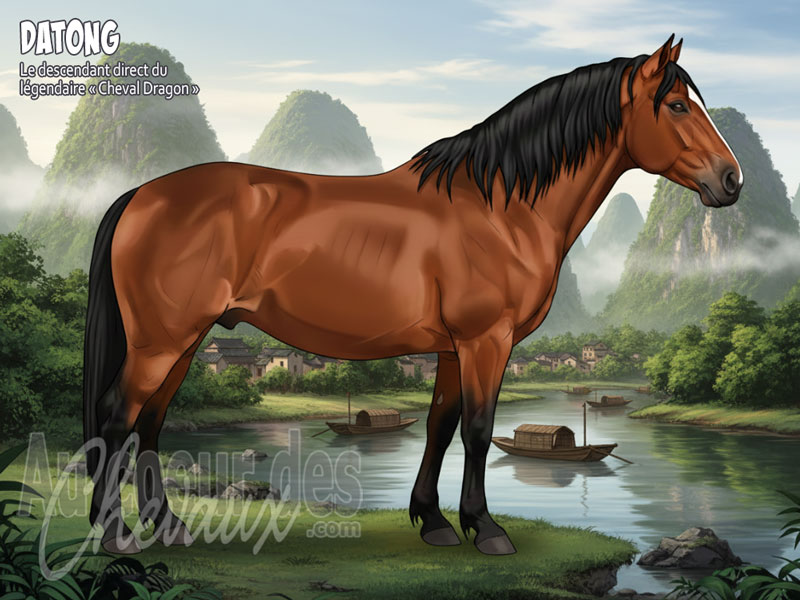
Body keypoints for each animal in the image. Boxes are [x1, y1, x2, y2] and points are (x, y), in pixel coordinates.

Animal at [83, 35, 742, 555]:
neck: (499, 206)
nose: (731, 180)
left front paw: (434, 521)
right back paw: (115, 533)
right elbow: (478, 429)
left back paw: (169, 526)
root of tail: (140, 194)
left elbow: (439, 426)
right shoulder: (486, 341)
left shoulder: (453, 348)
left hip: (185, 340)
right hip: (162, 341)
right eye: (677, 105)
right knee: (120, 418)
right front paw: (486, 529)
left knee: (152, 424)